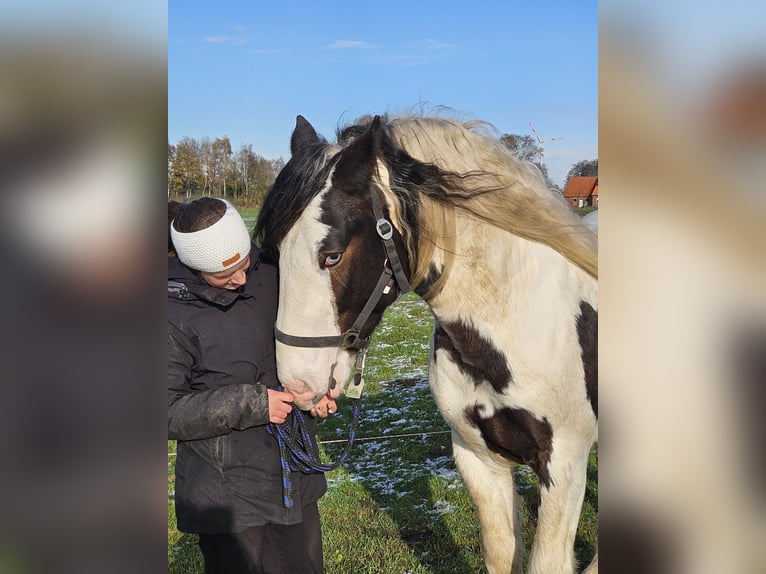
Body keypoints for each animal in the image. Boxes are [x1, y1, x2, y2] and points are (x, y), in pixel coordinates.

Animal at [256, 113, 600, 574]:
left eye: (331, 255)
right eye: (274, 253)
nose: (297, 386)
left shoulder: (564, 467)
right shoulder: (477, 458)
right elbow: (501, 554)